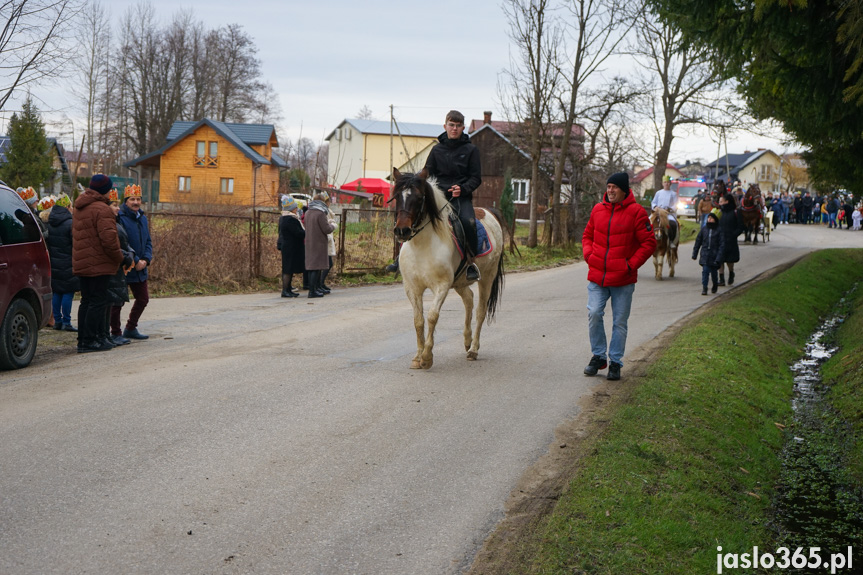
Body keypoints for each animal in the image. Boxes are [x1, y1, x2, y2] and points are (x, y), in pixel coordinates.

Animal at [394, 169, 506, 372]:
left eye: (419, 198)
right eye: (397, 196)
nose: (401, 231)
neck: (422, 245)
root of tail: (489, 211)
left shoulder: (442, 286)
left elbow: (432, 316)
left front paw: (427, 357)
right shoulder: (412, 288)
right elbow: (418, 320)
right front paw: (417, 357)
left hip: (487, 277)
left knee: (480, 310)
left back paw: (473, 349)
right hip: (460, 282)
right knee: (469, 299)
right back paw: (467, 340)